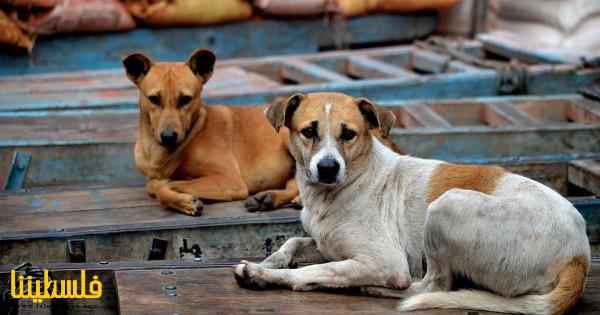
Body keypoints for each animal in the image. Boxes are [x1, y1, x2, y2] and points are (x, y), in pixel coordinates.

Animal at [122, 49, 300, 216]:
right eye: (153, 99)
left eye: (186, 99)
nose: (168, 137)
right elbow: (155, 184)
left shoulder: (230, 180)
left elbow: (166, 186)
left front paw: (185, 202)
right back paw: (270, 198)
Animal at [234, 92, 592, 314]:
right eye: (309, 131)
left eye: (348, 134)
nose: (328, 168)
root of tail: (579, 254)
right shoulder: (326, 242)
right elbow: (293, 242)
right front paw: (272, 261)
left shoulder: (384, 261)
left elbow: (314, 271)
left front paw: (263, 274)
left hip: (446, 206)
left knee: (433, 286)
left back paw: (378, 289)